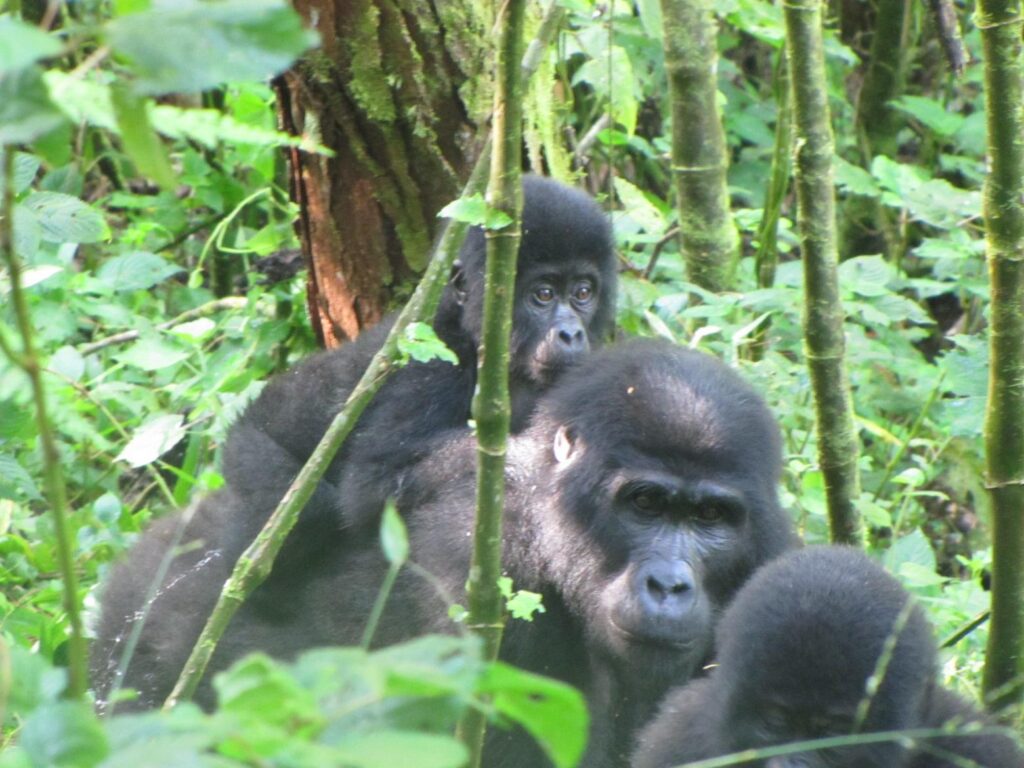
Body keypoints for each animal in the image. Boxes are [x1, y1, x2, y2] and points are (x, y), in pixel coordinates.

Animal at [219, 176, 614, 573]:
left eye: (583, 292)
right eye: (543, 295)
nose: (571, 334)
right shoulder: (433, 364)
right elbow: (370, 484)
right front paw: (524, 461)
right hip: (248, 447)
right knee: (308, 514)